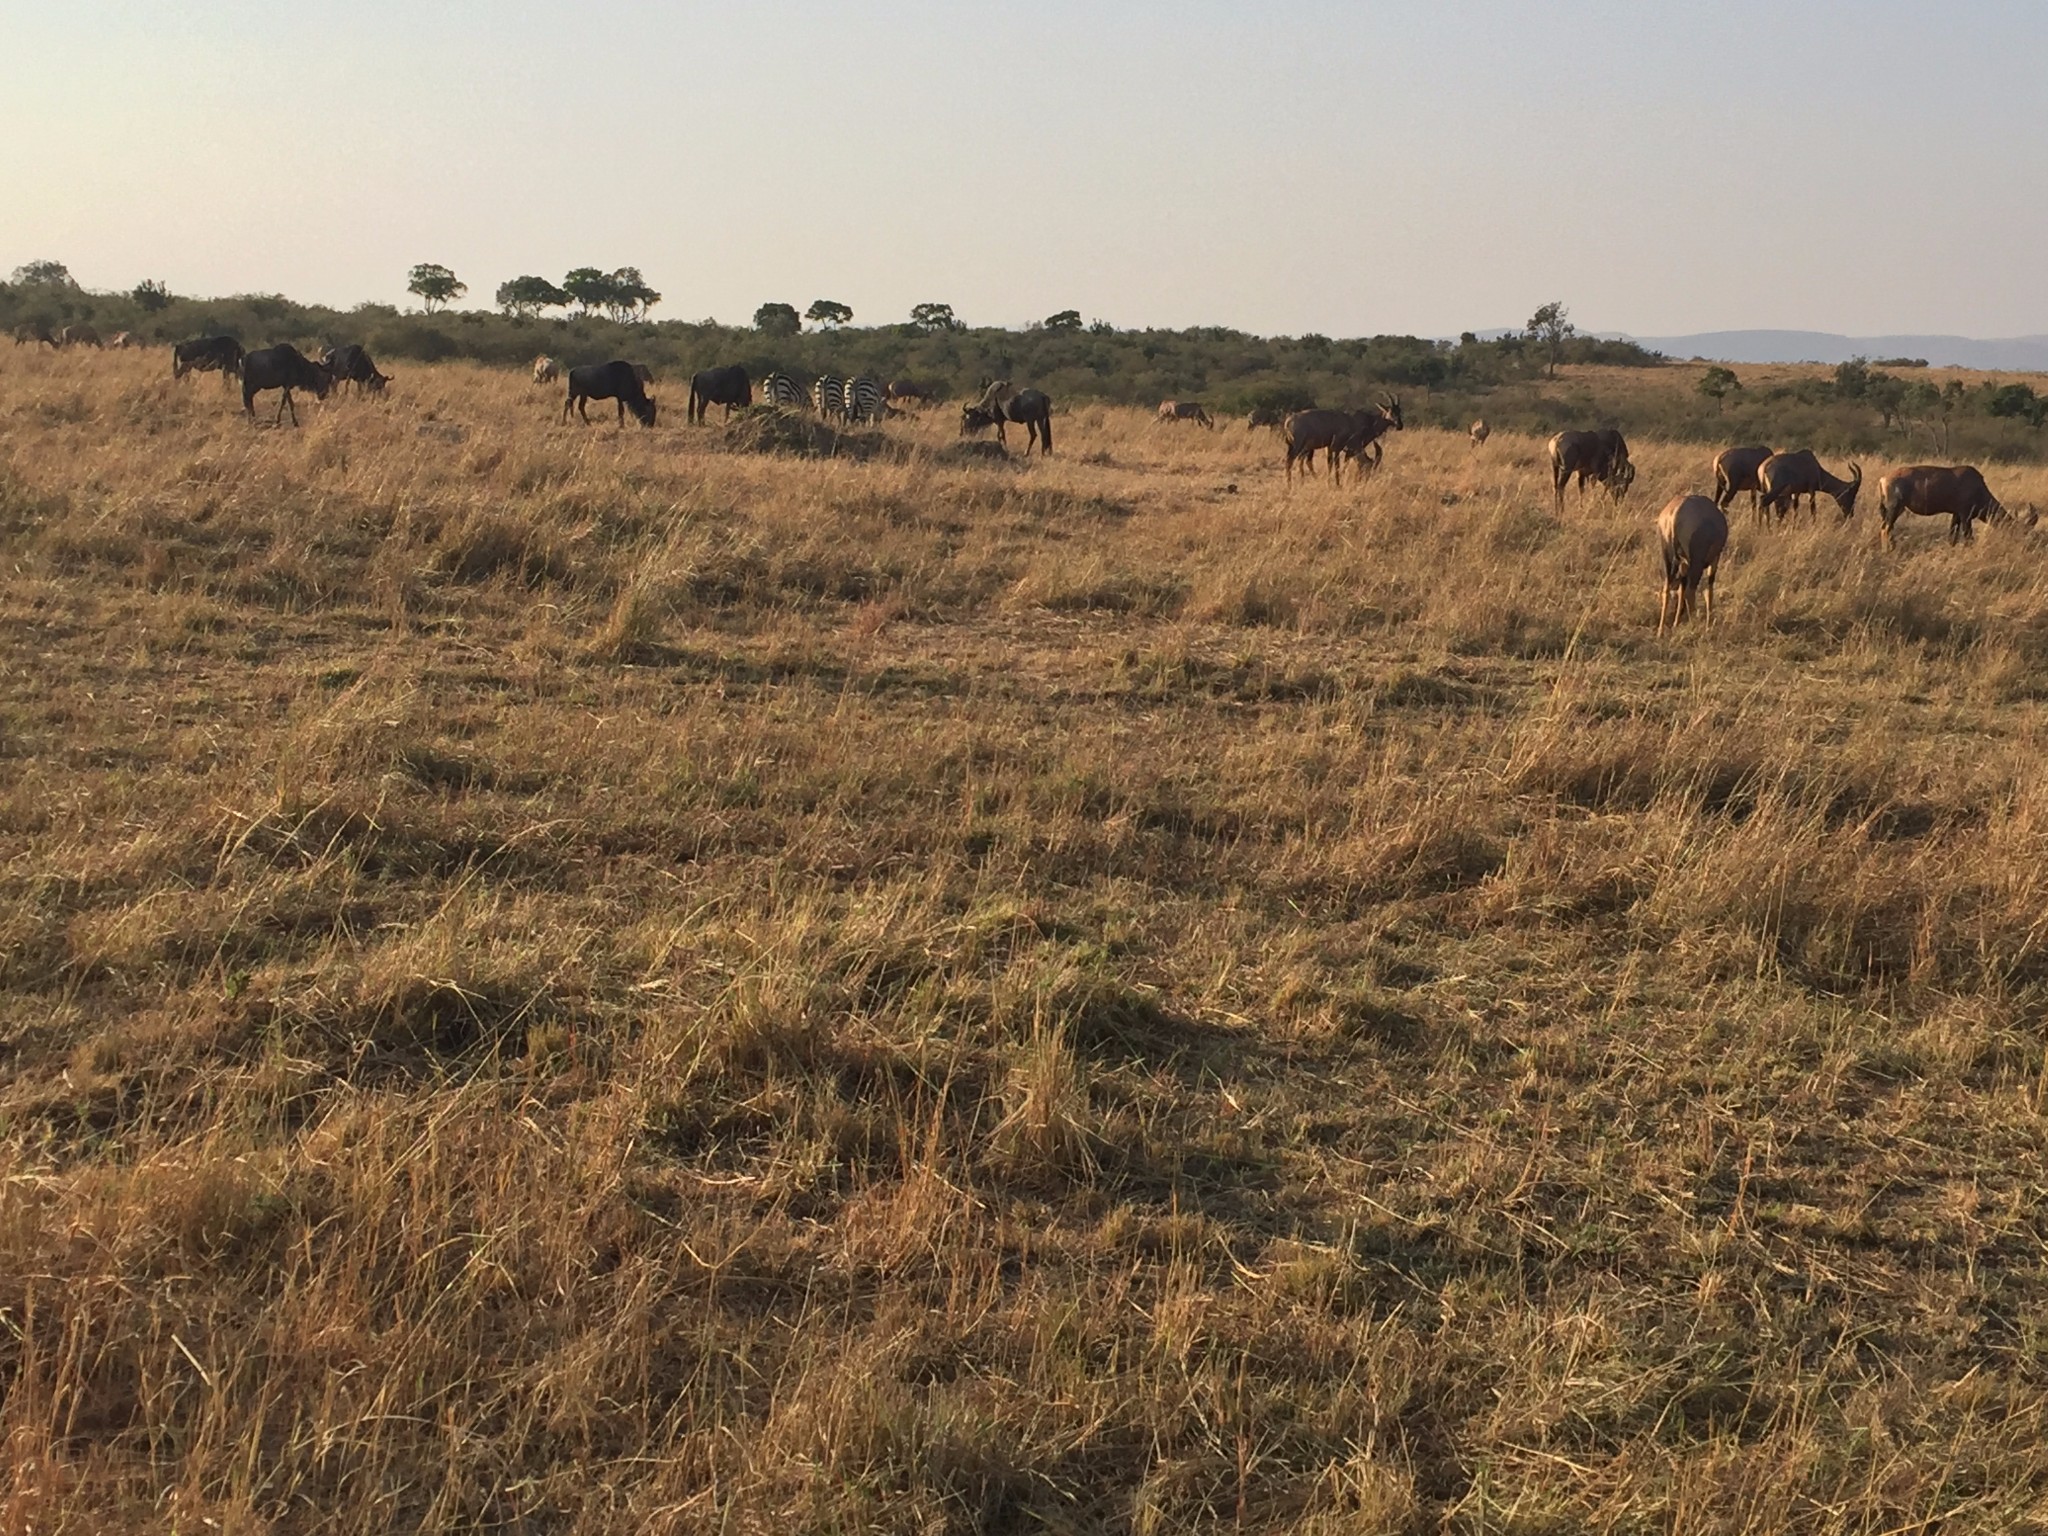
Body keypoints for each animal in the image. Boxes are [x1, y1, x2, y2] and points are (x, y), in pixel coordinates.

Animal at [1646, 495, 1728, 634]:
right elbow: (1709, 590)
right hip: (1696, 563)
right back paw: (1695, 626)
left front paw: (1675, 623)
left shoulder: (1684, 564)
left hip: (1668, 558)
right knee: (1690, 592)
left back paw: (1660, 631)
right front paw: (1708, 626)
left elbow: (1681, 590)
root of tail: (1676, 513)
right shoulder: (1714, 559)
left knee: (1667, 590)